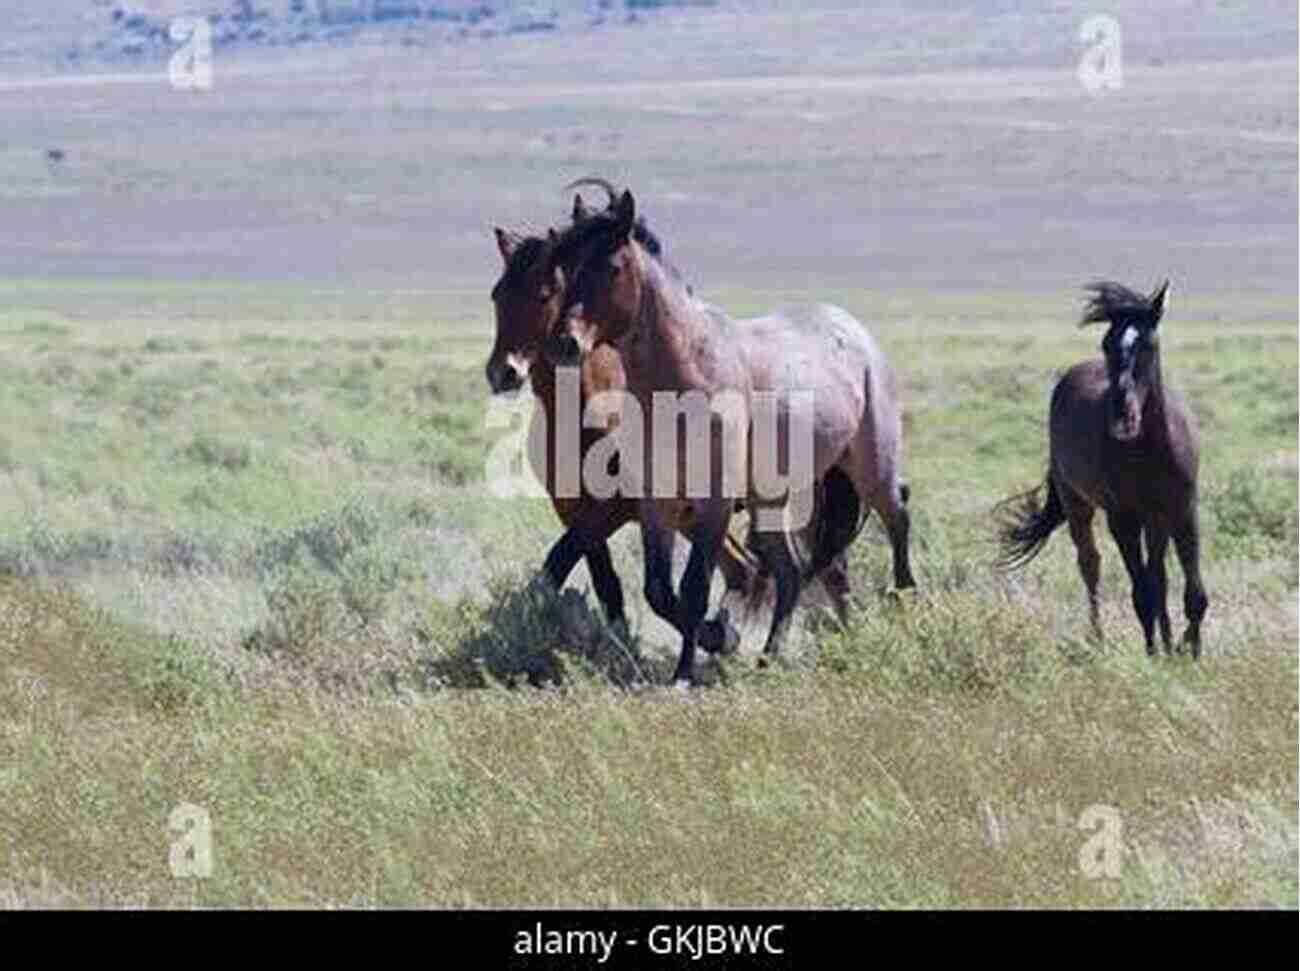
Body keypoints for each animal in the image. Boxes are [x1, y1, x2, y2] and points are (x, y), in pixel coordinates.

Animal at [488, 181, 852, 652]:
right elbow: (596, 582)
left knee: (824, 570)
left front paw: (715, 634)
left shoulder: (623, 511)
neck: (585, 413)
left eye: (545, 293)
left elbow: (566, 564)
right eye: (497, 294)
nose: (503, 371)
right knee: (758, 569)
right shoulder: (581, 513)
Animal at [543, 189, 920, 686]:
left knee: (897, 520)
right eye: (566, 267)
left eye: (613, 265)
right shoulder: (657, 505)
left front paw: (689, 670)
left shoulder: (714, 505)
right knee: (792, 571)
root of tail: (855, 332)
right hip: (771, 498)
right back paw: (769, 658)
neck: (685, 375)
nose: (564, 343)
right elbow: (661, 593)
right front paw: (718, 639)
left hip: (872, 467)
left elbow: (694, 589)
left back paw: (907, 610)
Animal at [998, 280, 1211, 660]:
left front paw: (1188, 649)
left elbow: (1192, 593)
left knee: (1158, 574)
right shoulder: (1122, 519)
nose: (1122, 417)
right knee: (1090, 565)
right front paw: (1155, 654)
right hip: (1078, 506)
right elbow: (1142, 593)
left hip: (1155, 518)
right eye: (1106, 343)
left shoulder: (1183, 510)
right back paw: (1098, 639)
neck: (1152, 449)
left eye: (1149, 343)